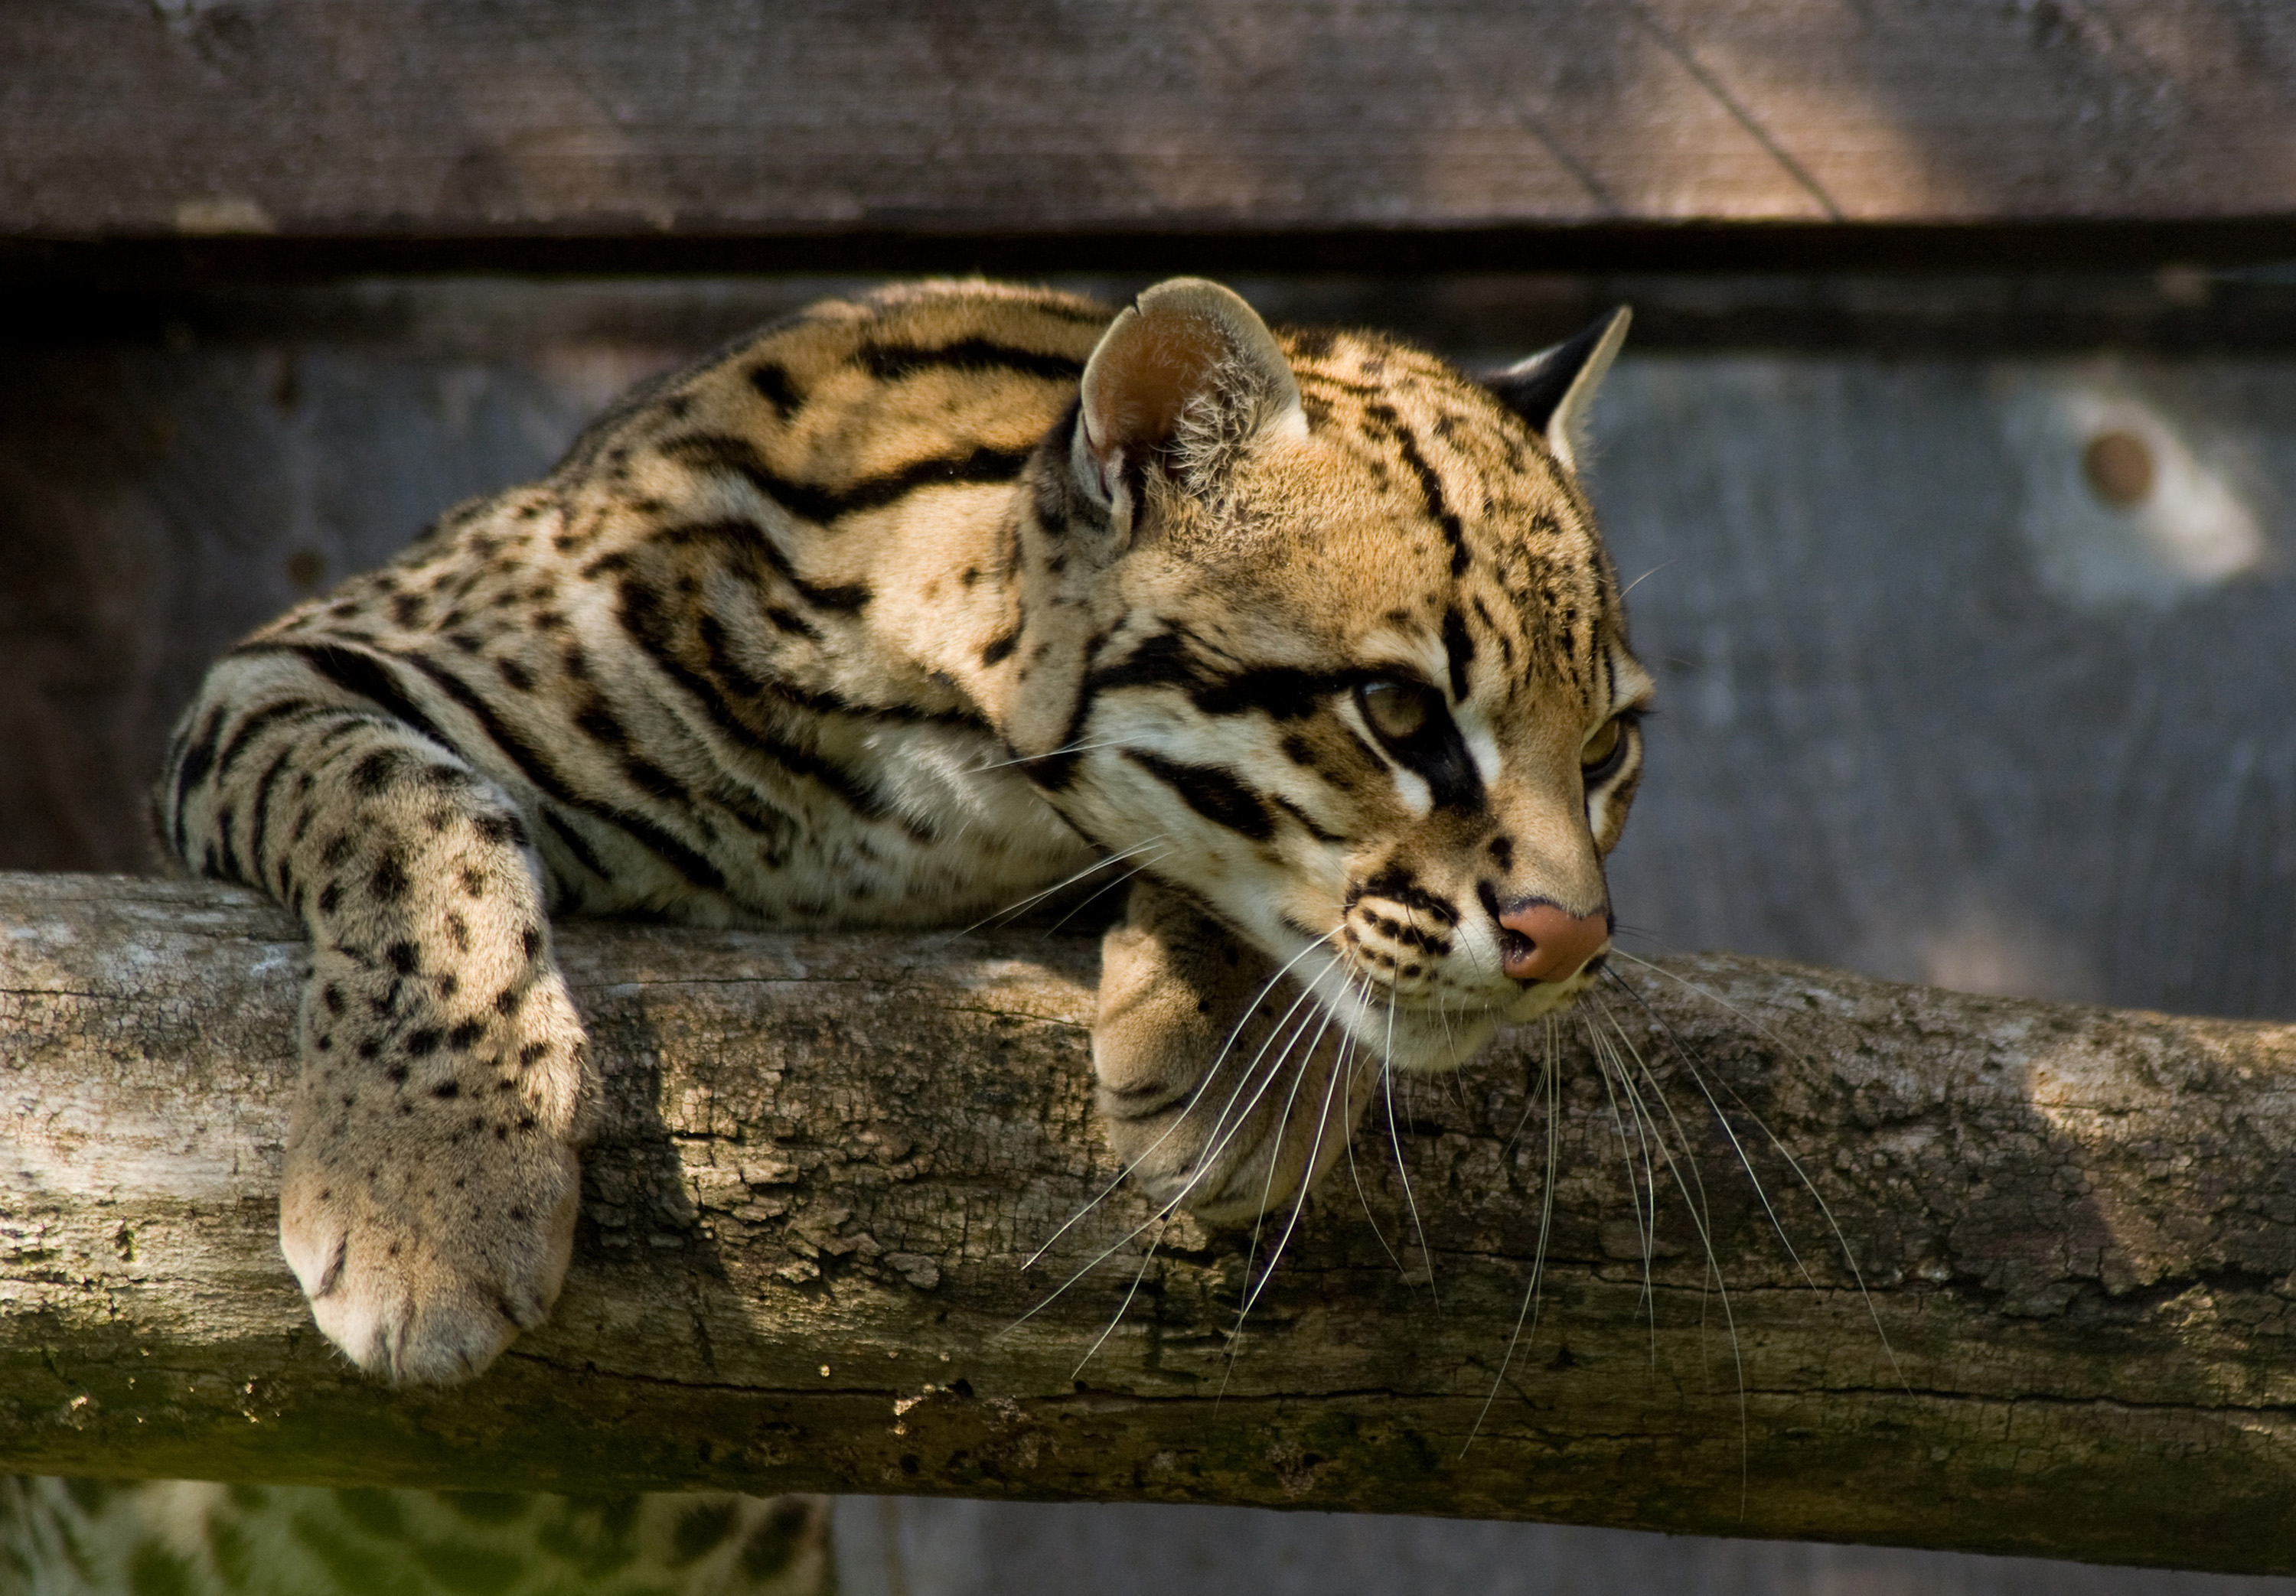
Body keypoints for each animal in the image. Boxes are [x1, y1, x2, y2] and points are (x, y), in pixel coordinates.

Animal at [154, 274, 1651, 1388]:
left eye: (1606, 747)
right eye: (1397, 712)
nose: (1572, 938)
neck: (953, 783)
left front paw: (1239, 1053)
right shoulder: (295, 665)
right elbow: (417, 816)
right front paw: (426, 1190)